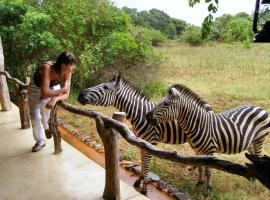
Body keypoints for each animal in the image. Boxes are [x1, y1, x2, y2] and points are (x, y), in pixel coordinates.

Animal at [76, 74, 213, 194]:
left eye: (105, 87)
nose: (80, 94)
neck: (139, 114)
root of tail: (208, 106)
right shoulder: (141, 140)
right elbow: (142, 159)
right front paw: (140, 179)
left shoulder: (150, 140)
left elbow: (146, 161)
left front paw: (145, 185)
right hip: (196, 141)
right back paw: (199, 182)